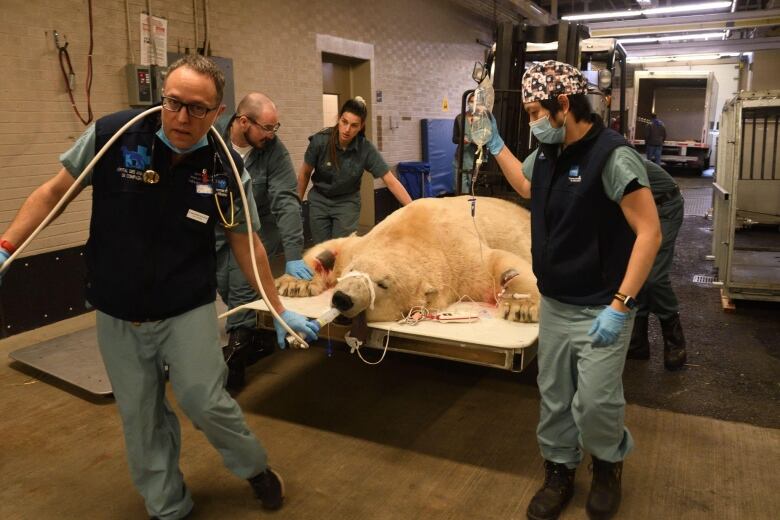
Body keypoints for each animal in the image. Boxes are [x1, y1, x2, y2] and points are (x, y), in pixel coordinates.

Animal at [278, 197, 540, 322]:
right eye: (352, 271)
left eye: (382, 284)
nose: (342, 298)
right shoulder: (364, 242)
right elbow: (333, 247)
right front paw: (294, 283)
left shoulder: (461, 261)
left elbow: (500, 262)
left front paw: (522, 307)